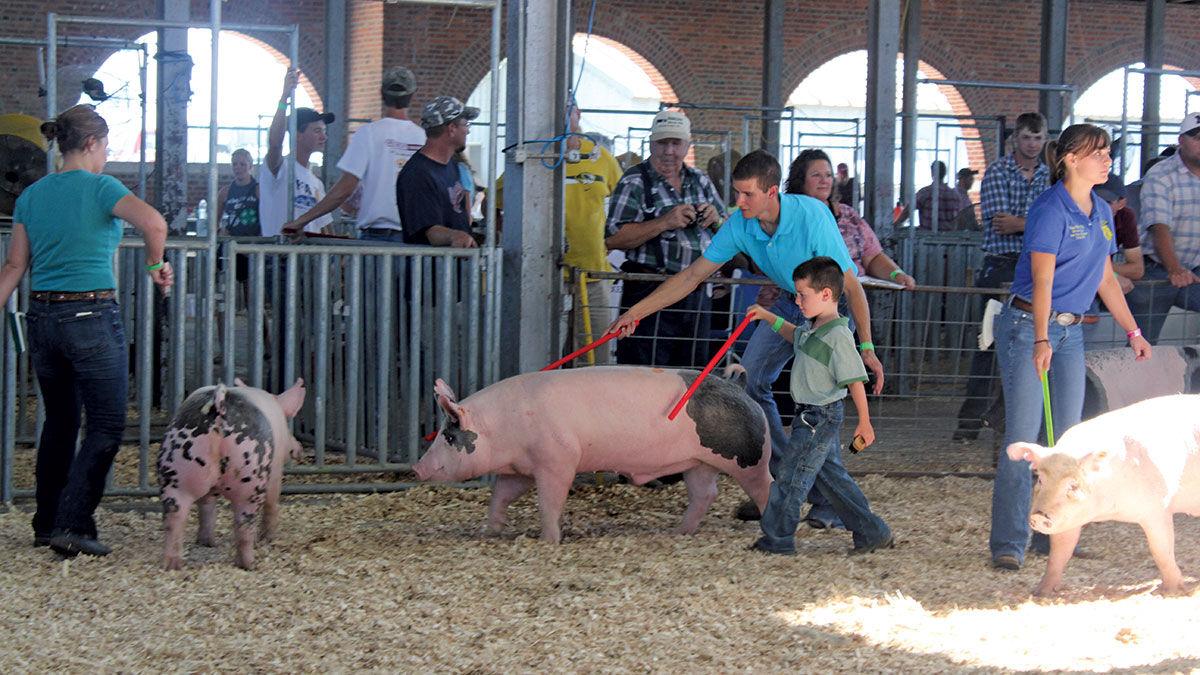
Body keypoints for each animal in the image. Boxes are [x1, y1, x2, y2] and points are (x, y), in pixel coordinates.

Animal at [157, 379, 307, 566]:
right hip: (252, 477)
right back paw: (249, 564)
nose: (299, 449)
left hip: (175, 470)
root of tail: (219, 402)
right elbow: (272, 502)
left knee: (175, 516)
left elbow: (207, 506)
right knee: (244, 523)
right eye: (289, 429)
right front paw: (269, 538)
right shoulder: (276, 468)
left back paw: (176, 562)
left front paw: (206, 542)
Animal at [412, 365, 772, 538]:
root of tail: (739, 386)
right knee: (705, 493)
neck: (504, 425)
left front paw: (549, 539)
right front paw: (492, 530)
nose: (416, 468)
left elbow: (549, 501)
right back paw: (679, 532)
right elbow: (501, 495)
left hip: (750, 458)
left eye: (448, 436)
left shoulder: (557, 458)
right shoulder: (522, 468)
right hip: (698, 462)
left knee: (766, 486)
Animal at [1012, 393, 1200, 593]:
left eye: (1073, 485)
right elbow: (1059, 552)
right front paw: (1041, 592)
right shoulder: (1070, 518)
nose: (1039, 515)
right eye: (1040, 479)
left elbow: (1161, 550)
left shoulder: (1158, 507)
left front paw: (1170, 590)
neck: (1110, 509)